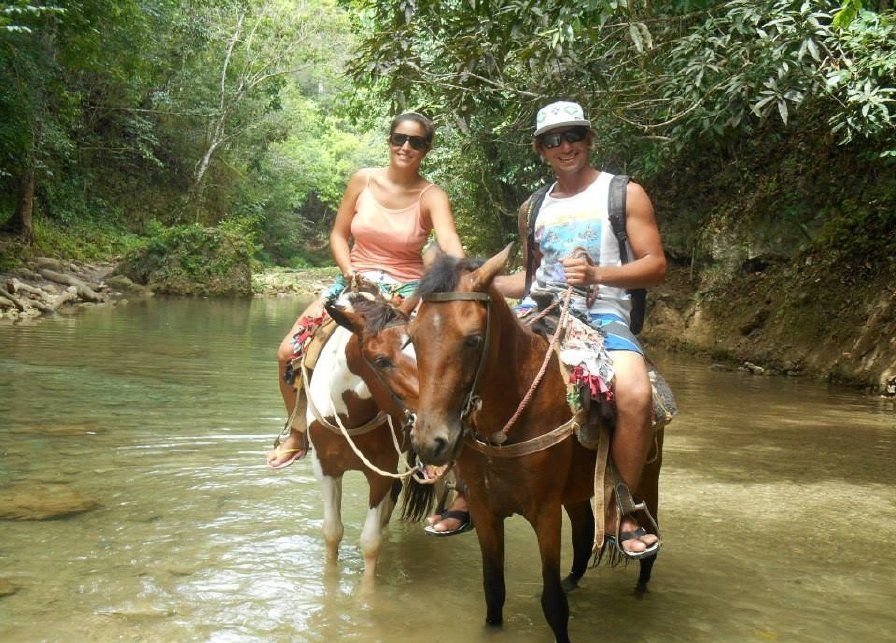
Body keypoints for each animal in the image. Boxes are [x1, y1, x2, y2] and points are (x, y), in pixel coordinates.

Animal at [302, 294, 422, 580]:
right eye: (381, 361)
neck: (349, 416)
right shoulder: (325, 469)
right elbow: (332, 532)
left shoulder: (381, 470)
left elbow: (370, 542)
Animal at [410, 249, 660, 640]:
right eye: (412, 337)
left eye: (472, 340)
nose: (430, 442)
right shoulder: (485, 510)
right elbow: (494, 589)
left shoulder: (545, 512)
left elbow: (554, 605)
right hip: (575, 491)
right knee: (584, 532)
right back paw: (574, 578)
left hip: (649, 477)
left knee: (648, 540)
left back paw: (636, 559)